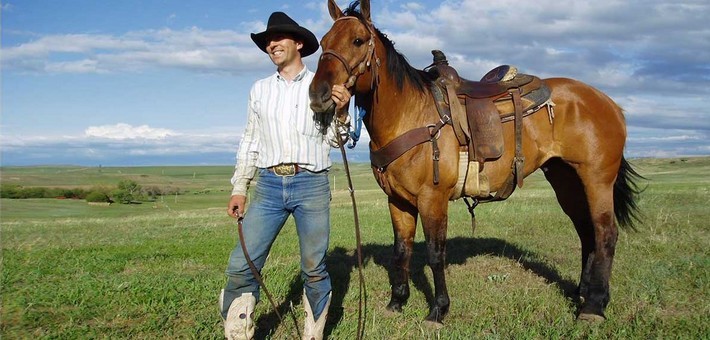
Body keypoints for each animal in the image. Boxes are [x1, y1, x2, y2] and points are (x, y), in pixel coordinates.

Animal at [308, 0, 644, 326]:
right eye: (323, 42)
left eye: (358, 40)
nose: (318, 94)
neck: (411, 113)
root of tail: (609, 104)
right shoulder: (397, 201)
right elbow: (401, 251)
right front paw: (397, 302)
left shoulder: (432, 198)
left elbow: (435, 254)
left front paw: (438, 310)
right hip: (566, 179)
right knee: (586, 231)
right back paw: (583, 293)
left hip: (596, 179)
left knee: (605, 233)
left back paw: (595, 306)